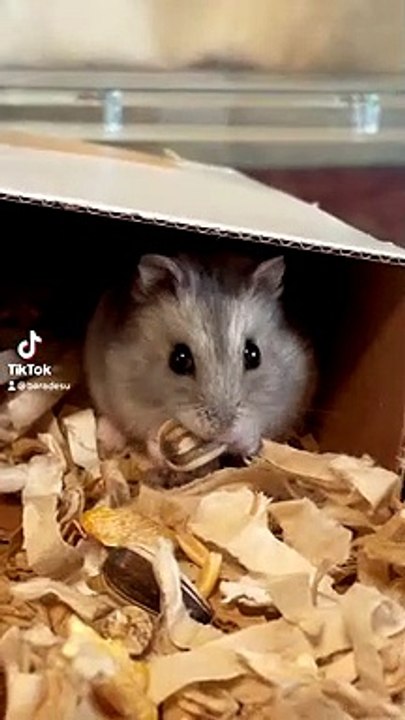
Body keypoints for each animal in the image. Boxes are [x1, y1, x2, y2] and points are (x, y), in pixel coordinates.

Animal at [84, 253, 315, 459]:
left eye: (253, 354)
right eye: (179, 359)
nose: (223, 431)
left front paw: (242, 441)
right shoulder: (127, 394)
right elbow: (148, 425)